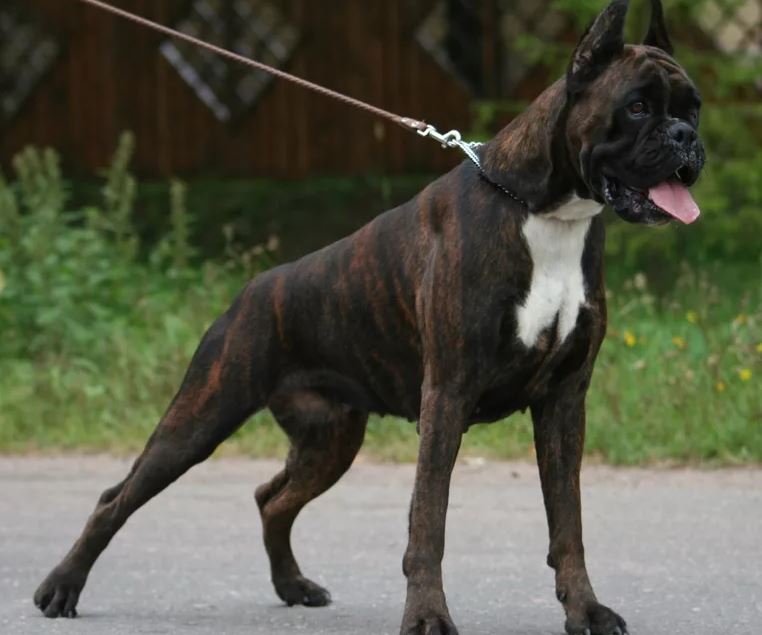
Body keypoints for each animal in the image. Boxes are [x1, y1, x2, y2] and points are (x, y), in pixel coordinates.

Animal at [34, 1, 704, 633]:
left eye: (692, 109)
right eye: (638, 107)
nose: (685, 137)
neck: (547, 213)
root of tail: (252, 289)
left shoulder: (565, 400)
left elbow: (568, 522)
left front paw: (585, 611)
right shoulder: (448, 397)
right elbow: (428, 522)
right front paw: (428, 617)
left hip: (330, 437)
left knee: (271, 498)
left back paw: (293, 586)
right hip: (201, 416)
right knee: (116, 497)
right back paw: (61, 588)